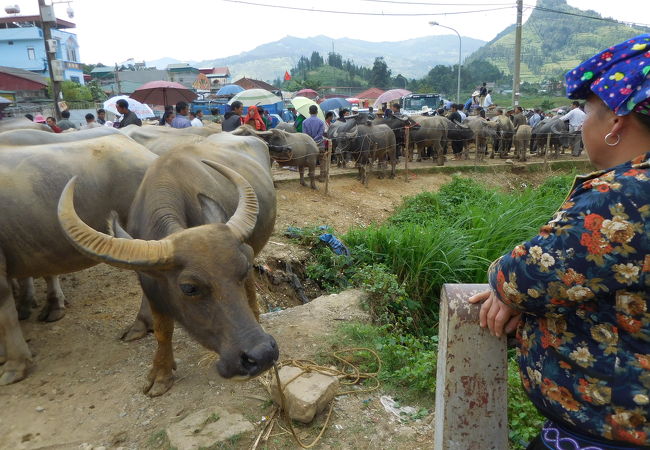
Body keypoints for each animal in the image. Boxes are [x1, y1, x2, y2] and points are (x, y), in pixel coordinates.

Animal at [61, 132, 280, 396]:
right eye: (189, 288)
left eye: (243, 269)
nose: (262, 354)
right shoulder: (150, 282)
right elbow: (163, 330)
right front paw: (161, 373)